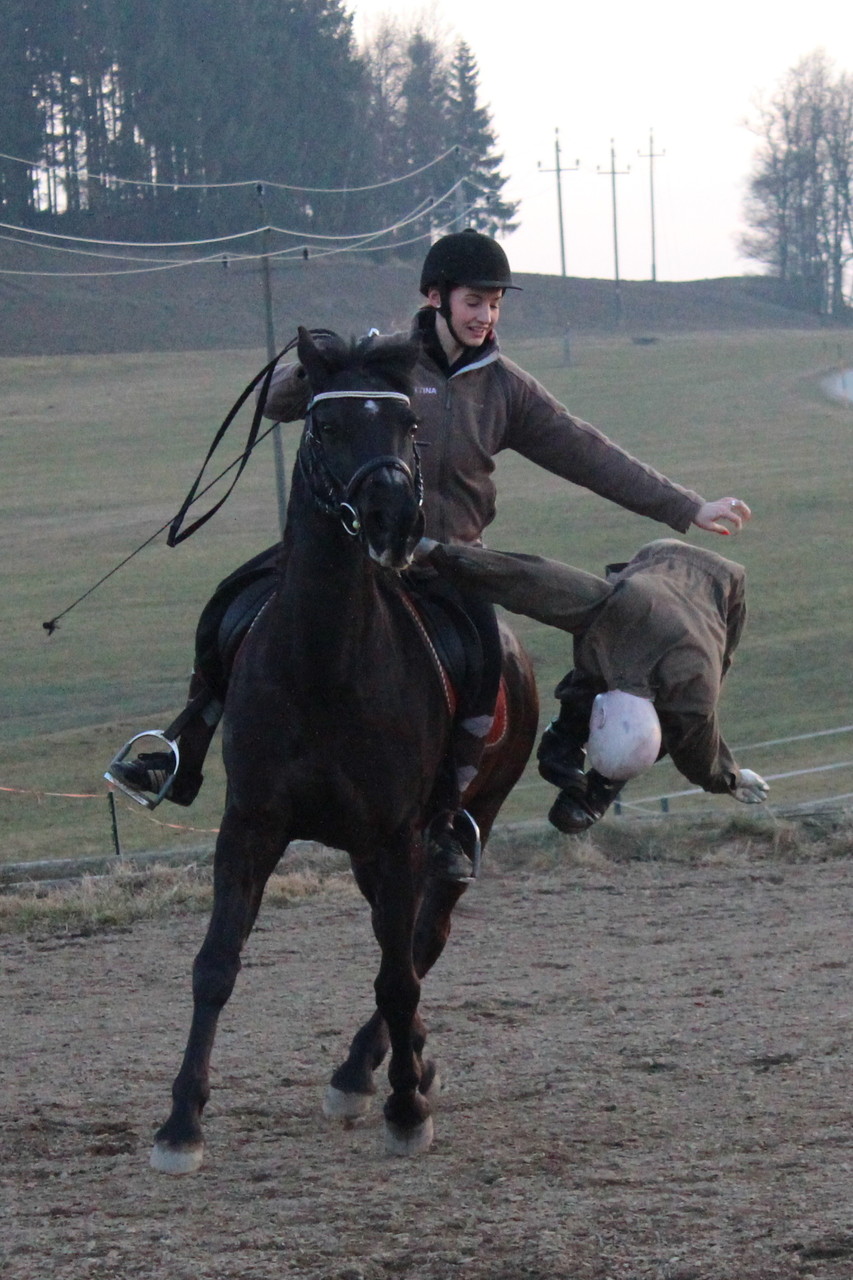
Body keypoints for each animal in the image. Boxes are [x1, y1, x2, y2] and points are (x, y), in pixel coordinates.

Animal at [149, 327, 535, 1172]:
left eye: (406, 425)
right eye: (324, 426)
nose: (392, 515)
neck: (323, 665)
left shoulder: (394, 838)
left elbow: (397, 976)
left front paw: (404, 1108)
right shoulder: (251, 827)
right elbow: (215, 964)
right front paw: (180, 1123)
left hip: (461, 822)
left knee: (423, 940)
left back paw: (375, 1070)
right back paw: (394, 1059)